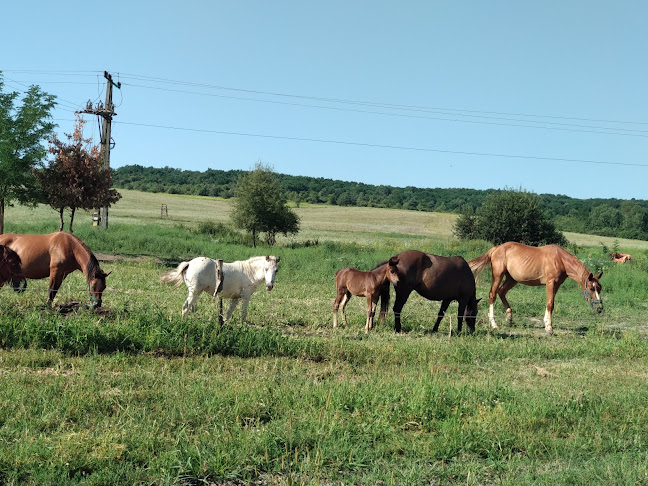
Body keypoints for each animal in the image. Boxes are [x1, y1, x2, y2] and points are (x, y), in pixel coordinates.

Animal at [468, 240, 604, 334]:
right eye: (591, 288)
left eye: (600, 288)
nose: (600, 308)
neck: (560, 259)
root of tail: (496, 248)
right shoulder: (550, 283)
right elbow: (550, 304)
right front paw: (549, 328)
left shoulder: (556, 285)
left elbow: (550, 303)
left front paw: (546, 323)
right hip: (498, 275)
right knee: (493, 294)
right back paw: (494, 324)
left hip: (512, 279)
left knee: (501, 292)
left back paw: (509, 318)